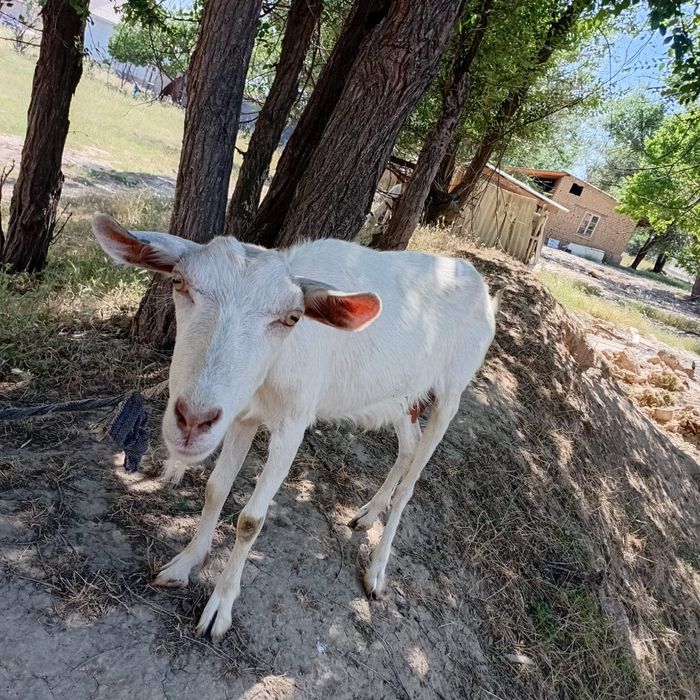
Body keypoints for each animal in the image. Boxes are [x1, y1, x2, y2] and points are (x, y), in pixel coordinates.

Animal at [92, 214, 498, 640]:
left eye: (291, 317)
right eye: (178, 282)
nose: (193, 420)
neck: (276, 365)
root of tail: (478, 282)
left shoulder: (293, 424)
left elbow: (251, 520)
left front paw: (219, 608)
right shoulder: (244, 414)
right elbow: (215, 489)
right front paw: (183, 564)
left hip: (452, 391)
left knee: (413, 480)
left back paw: (376, 571)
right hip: (401, 396)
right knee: (408, 446)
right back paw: (368, 513)